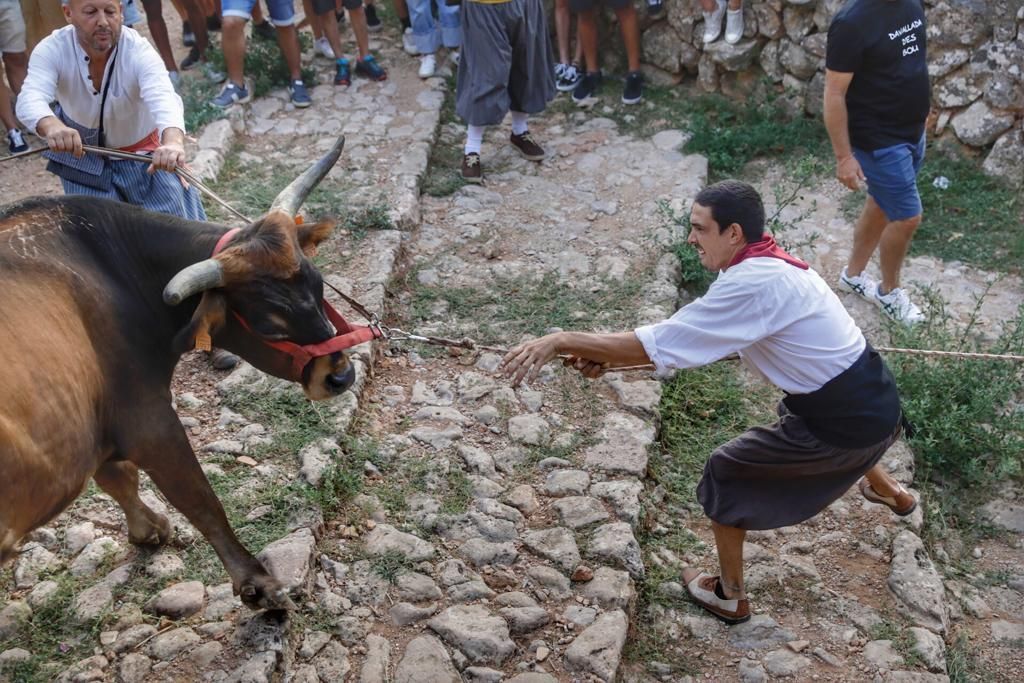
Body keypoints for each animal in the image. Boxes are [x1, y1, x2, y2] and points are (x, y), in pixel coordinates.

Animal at [0, 136, 356, 610]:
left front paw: (149, 530)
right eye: (269, 325)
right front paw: (256, 584)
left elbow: (119, 478)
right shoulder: (149, 420)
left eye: (318, 285)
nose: (340, 376)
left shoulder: (94, 428)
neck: (112, 269)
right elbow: (199, 499)